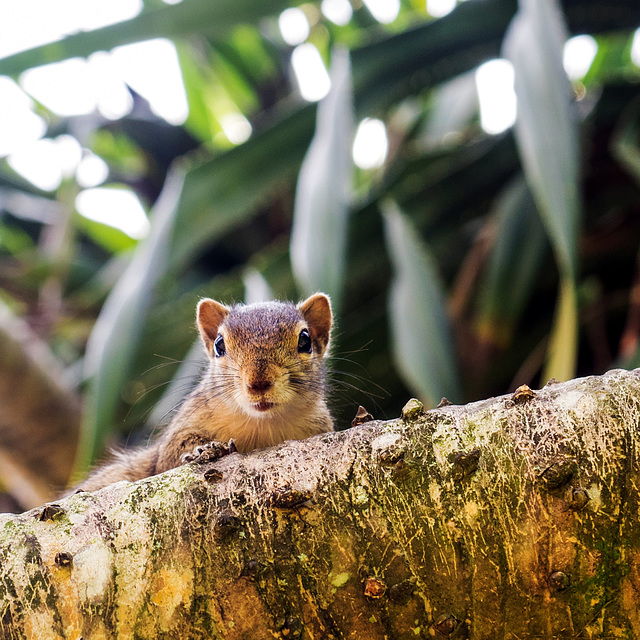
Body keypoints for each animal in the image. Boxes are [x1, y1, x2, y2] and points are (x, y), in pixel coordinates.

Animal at [74, 292, 336, 492]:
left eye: (305, 341)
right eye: (219, 345)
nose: (258, 382)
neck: (261, 424)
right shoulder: (184, 426)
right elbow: (171, 456)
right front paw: (205, 449)